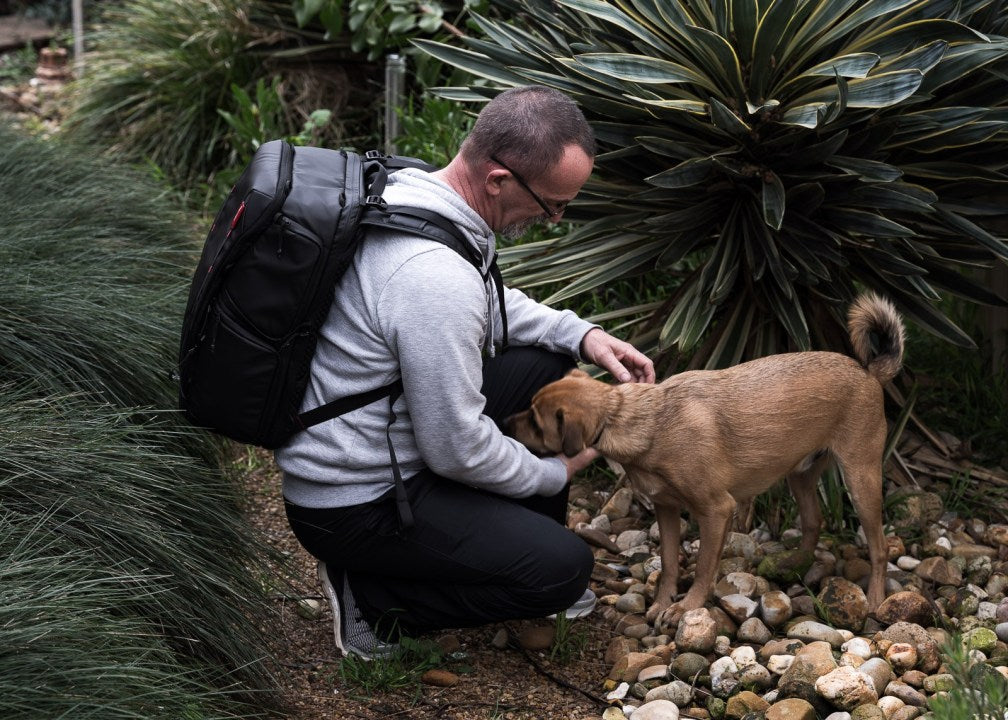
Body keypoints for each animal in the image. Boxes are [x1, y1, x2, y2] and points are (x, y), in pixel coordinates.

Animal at [508, 292, 903, 621]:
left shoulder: (716, 511)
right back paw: (793, 566)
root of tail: (868, 371)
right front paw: (663, 602)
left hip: (861, 480)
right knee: (813, 522)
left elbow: (701, 567)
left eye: (536, 422)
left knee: (880, 548)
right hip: (801, 475)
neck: (639, 418)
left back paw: (874, 598)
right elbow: (670, 562)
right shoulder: (666, 510)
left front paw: (688, 606)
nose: (506, 422)